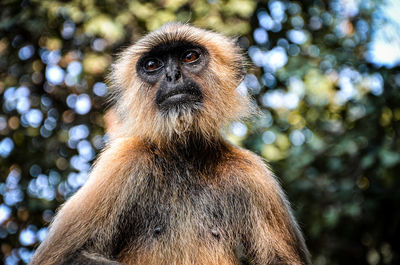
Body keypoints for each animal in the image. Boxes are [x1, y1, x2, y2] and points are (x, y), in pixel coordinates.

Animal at [29, 23, 310, 264]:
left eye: (189, 57)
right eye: (153, 64)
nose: (172, 75)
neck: (184, 156)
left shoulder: (254, 175)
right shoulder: (123, 161)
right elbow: (62, 258)